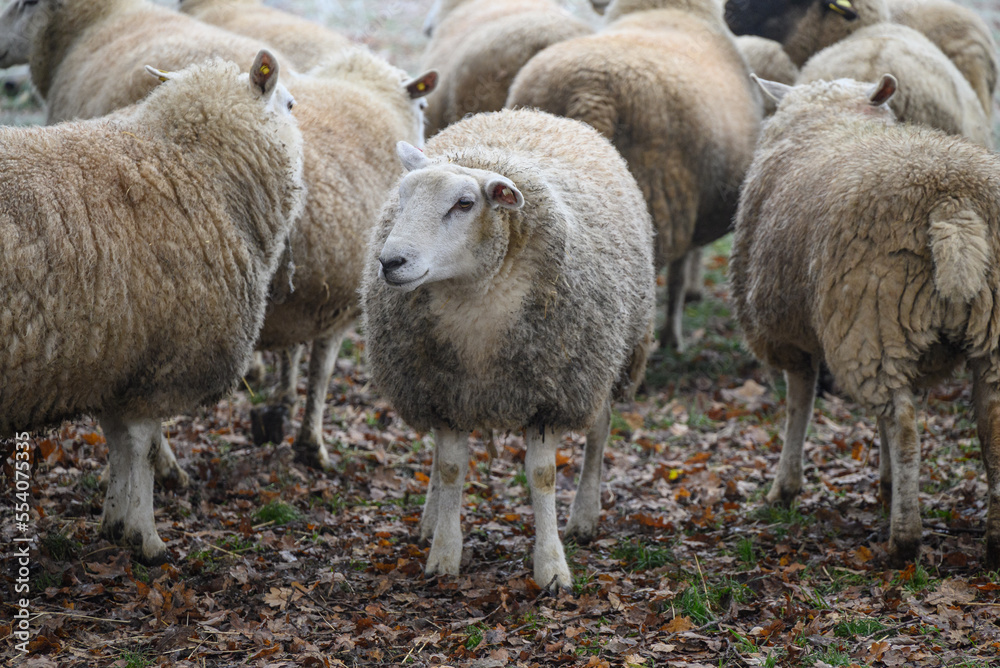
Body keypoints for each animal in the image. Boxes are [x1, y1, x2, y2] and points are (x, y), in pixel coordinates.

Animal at [0, 50, 305, 564]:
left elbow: (119, 443)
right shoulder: (161, 361)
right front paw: (147, 538)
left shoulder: (118, 358)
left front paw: (113, 523)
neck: (193, 164)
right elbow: (141, 447)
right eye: (289, 104)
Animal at [361, 109, 656, 589]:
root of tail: (530, 113)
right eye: (401, 198)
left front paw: (552, 567)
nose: (390, 262)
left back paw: (585, 515)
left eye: (464, 204)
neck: (474, 299)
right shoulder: (443, 391)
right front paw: (444, 553)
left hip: (602, 362)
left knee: (599, 430)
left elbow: (542, 475)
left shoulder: (550, 395)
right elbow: (450, 467)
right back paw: (430, 518)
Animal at [730, 73, 1000, 568]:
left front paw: (784, 488)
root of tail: (953, 204)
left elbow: (799, 404)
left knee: (907, 430)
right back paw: (993, 543)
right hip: (969, 335)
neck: (833, 121)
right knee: (990, 428)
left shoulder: (790, 335)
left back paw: (904, 540)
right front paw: (885, 481)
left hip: (869, 320)